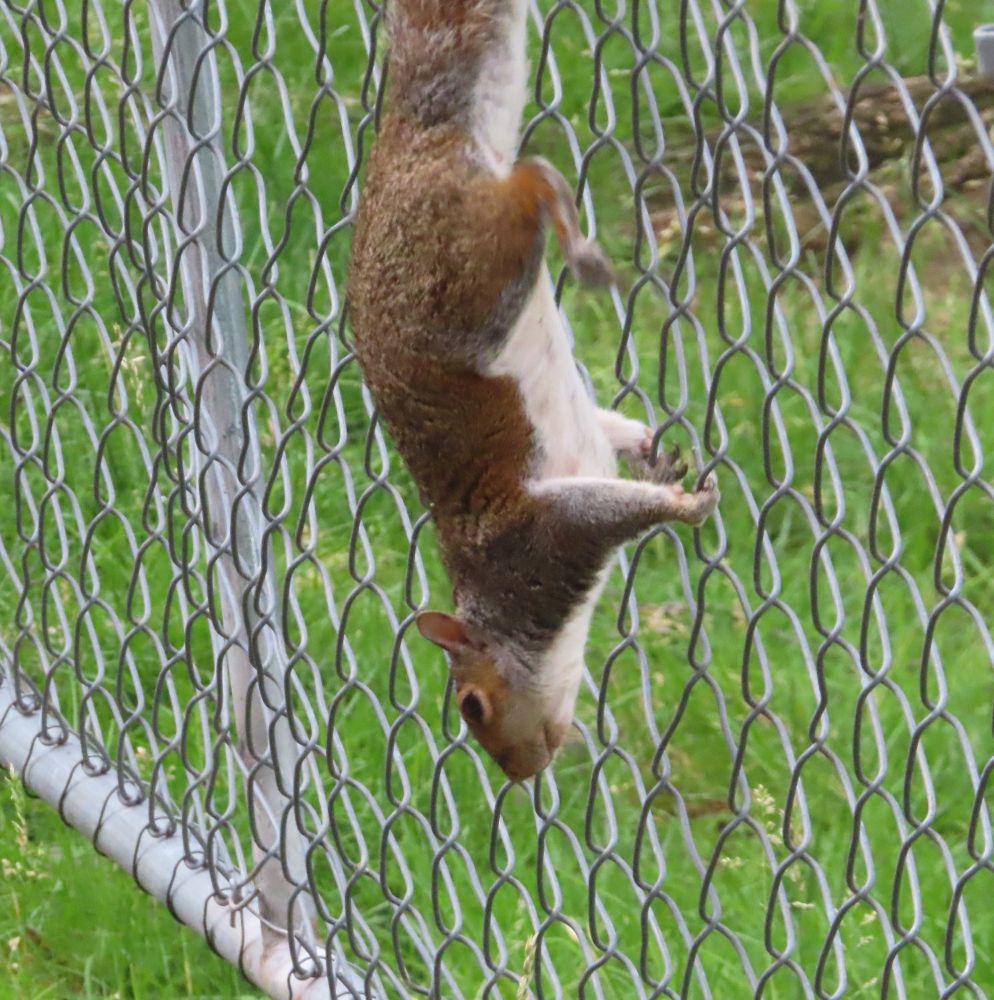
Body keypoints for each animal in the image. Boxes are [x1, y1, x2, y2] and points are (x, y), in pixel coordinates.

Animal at [348, 0, 719, 781]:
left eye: (472, 707)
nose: (521, 775)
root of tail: (411, 142)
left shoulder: (544, 538)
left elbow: (609, 511)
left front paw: (682, 505)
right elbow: (614, 436)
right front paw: (657, 458)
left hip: (470, 281)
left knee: (532, 183)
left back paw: (578, 241)